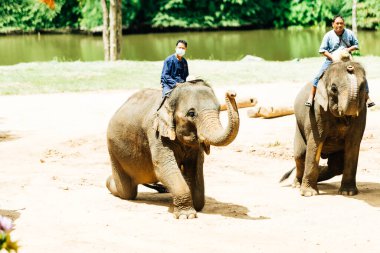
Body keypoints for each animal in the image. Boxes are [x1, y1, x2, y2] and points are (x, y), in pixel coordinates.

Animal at [105, 80, 239, 218]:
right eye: (191, 113)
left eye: (219, 110)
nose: (232, 94)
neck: (169, 99)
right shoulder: (156, 134)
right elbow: (165, 168)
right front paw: (187, 216)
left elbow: (195, 169)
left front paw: (191, 206)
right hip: (114, 150)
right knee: (127, 192)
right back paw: (109, 181)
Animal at [280, 60, 366, 197]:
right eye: (334, 89)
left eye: (363, 87)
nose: (350, 67)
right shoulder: (316, 110)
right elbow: (315, 142)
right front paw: (309, 194)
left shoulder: (362, 112)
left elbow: (353, 143)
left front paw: (348, 193)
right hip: (298, 127)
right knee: (300, 155)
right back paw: (297, 184)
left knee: (336, 166)